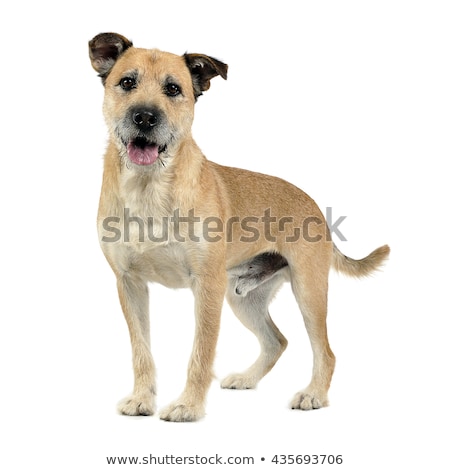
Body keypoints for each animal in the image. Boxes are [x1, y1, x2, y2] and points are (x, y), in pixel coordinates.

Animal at [89, 33, 390, 422]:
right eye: (127, 82)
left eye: (173, 89)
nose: (144, 117)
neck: (149, 188)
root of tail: (313, 204)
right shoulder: (130, 285)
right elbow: (141, 351)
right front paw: (142, 399)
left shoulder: (207, 286)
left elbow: (201, 353)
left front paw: (188, 405)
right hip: (242, 298)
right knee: (277, 340)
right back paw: (248, 379)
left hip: (308, 293)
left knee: (325, 351)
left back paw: (313, 394)